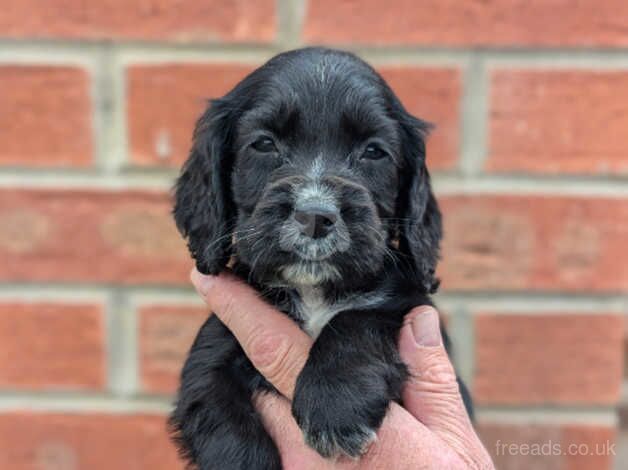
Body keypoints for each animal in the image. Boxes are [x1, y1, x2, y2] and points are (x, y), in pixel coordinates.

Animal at [168, 45, 472, 470]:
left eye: (374, 152)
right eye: (264, 144)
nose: (315, 214)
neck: (312, 291)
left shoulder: (410, 305)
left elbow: (358, 318)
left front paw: (335, 403)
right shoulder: (216, 345)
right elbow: (215, 409)